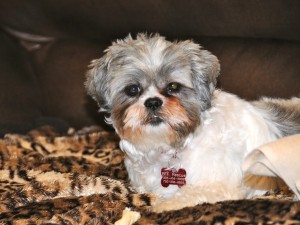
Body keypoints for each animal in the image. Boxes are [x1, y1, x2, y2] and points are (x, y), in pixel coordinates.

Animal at [85, 33, 300, 211]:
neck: (172, 146)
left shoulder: (218, 186)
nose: (153, 102)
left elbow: (183, 196)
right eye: (132, 89)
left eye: (173, 86)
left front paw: (160, 206)